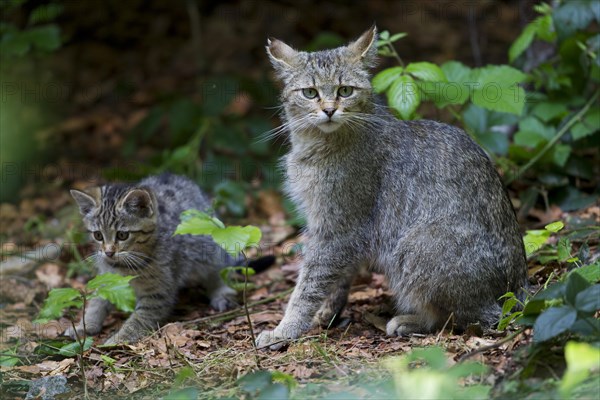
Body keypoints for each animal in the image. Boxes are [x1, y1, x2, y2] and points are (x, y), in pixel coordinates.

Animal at [67, 172, 239, 344]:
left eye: (122, 235)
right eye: (98, 235)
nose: (108, 252)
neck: (124, 265)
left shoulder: (158, 293)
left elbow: (140, 318)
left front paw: (119, 338)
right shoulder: (109, 277)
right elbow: (97, 301)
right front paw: (85, 325)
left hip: (209, 245)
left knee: (218, 268)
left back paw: (221, 292)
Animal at [255, 27, 528, 350]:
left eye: (345, 91)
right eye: (310, 93)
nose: (329, 110)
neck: (316, 145)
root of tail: (520, 289)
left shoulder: (339, 228)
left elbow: (308, 284)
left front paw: (285, 329)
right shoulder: (339, 229)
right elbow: (338, 277)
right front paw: (328, 311)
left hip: (414, 246)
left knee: (478, 317)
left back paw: (411, 320)